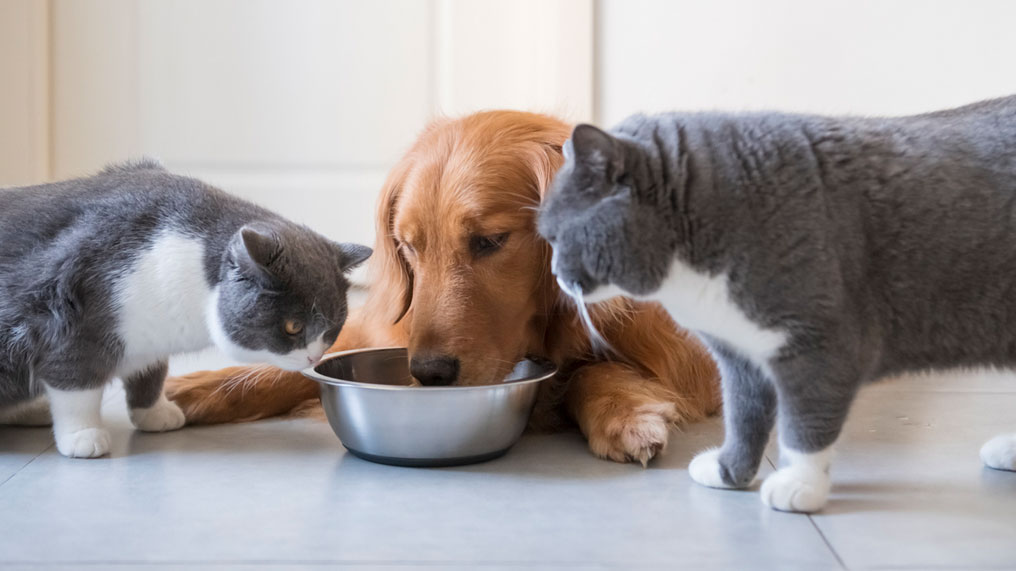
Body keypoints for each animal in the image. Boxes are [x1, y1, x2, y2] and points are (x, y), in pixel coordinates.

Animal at [0, 157, 373, 455]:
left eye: (333, 326)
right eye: (293, 326)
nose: (313, 358)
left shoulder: (148, 338)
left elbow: (151, 372)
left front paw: (154, 412)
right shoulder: (73, 314)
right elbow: (76, 384)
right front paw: (84, 436)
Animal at [166, 110, 719, 463]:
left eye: (490, 241)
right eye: (408, 246)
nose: (428, 373)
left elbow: (592, 369)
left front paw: (625, 411)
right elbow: (291, 369)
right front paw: (190, 389)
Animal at [536, 94, 1016, 512]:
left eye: (558, 235)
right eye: (546, 238)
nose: (556, 274)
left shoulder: (820, 348)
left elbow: (803, 426)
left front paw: (799, 486)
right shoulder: (739, 357)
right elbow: (744, 419)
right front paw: (729, 472)